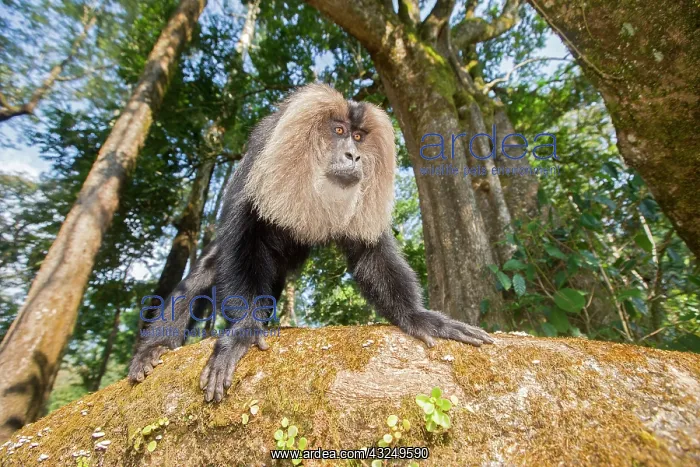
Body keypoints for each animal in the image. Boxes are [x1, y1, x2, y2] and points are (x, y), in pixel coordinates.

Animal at [129, 84, 494, 402]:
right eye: (338, 131)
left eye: (358, 137)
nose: (353, 156)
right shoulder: (261, 158)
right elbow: (241, 241)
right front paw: (243, 331)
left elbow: (369, 256)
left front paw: (419, 317)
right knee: (204, 273)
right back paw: (154, 348)